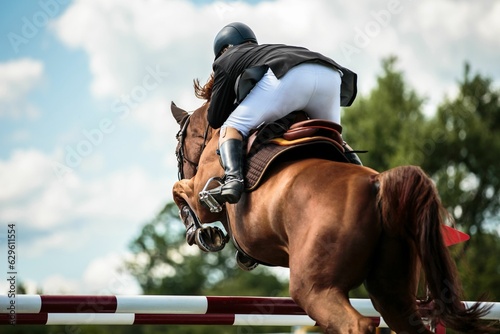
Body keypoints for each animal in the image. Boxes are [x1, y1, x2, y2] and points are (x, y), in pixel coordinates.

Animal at [170, 100, 494, 332]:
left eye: (177, 148)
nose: (183, 166)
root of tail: (378, 185)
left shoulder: (202, 195)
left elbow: (179, 191)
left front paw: (202, 234)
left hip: (316, 289)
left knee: (355, 324)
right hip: (392, 291)